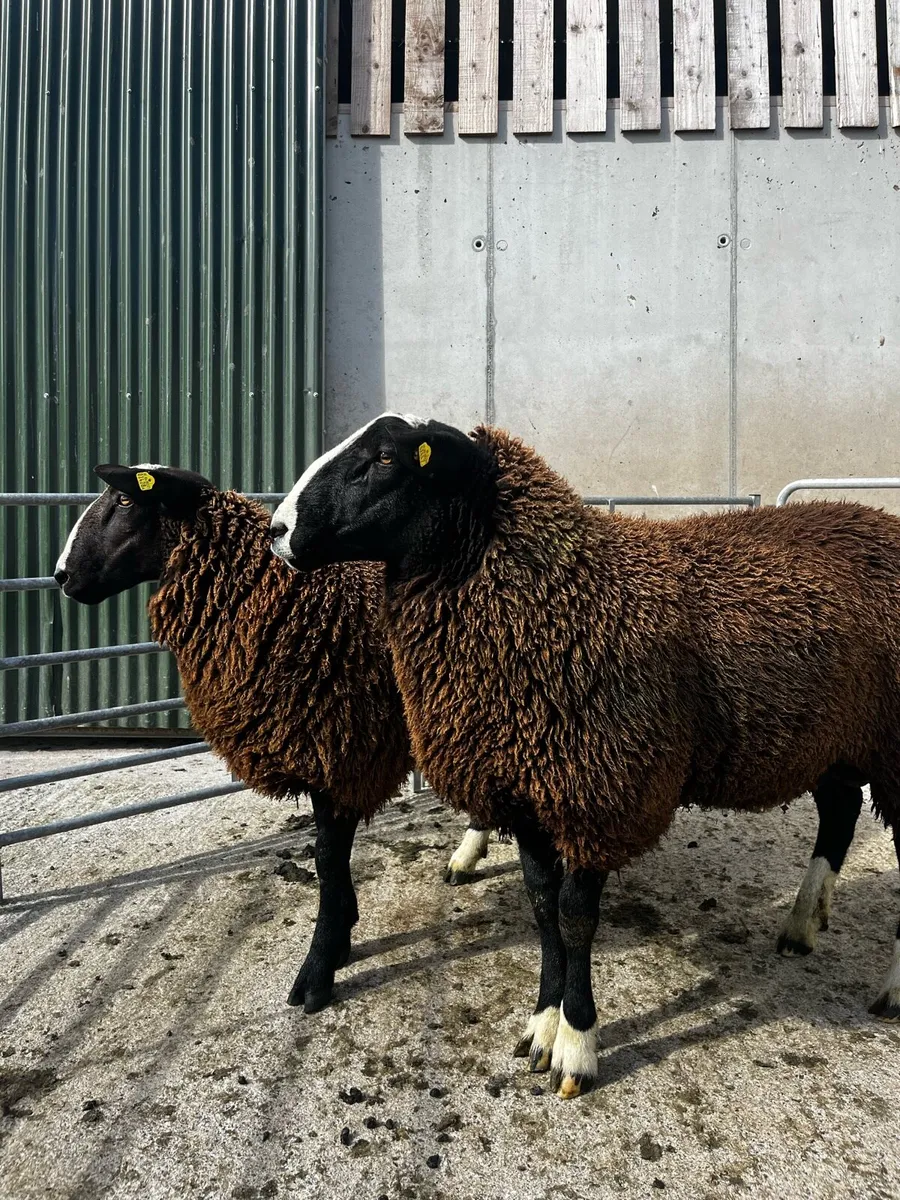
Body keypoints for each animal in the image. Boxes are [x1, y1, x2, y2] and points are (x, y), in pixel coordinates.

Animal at [271, 413, 900, 1097]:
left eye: (387, 458)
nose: (277, 529)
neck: (552, 601)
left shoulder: (599, 792)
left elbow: (575, 918)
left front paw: (576, 1044)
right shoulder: (525, 791)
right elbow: (543, 908)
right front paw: (541, 1025)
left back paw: (890, 990)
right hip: (836, 739)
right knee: (840, 809)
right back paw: (802, 923)